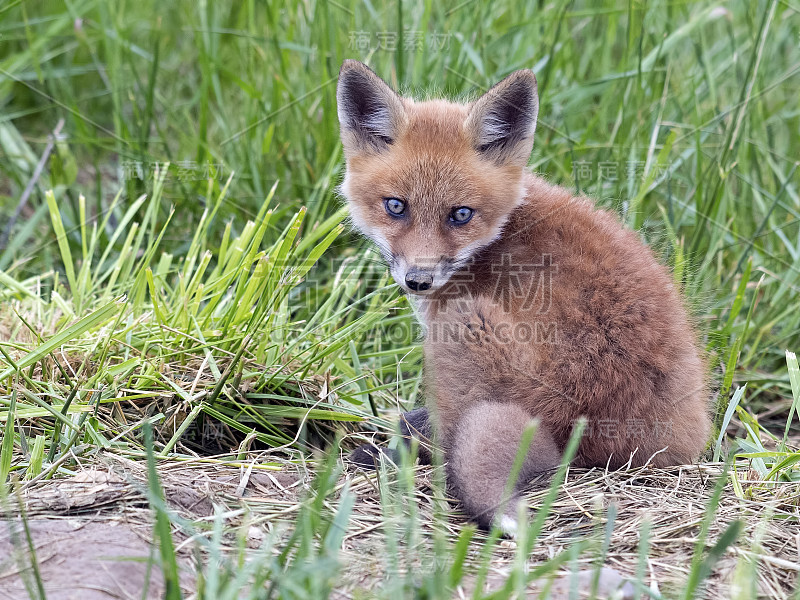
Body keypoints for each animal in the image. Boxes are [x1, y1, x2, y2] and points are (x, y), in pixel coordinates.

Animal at [334, 58, 708, 532]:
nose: (418, 280)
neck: (498, 238)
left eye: (460, 214)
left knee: (450, 441)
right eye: (396, 206)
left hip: (463, 327)